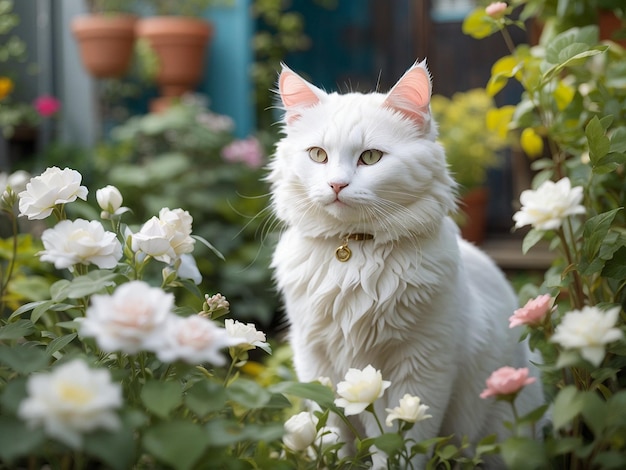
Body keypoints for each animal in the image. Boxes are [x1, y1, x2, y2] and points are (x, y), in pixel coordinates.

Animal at [268, 59, 540, 466]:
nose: (336, 185)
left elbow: (399, 443)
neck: (354, 255)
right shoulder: (314, 361)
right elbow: (333, 435)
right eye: (318, 155)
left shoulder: (422, 366)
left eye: (370, 157)